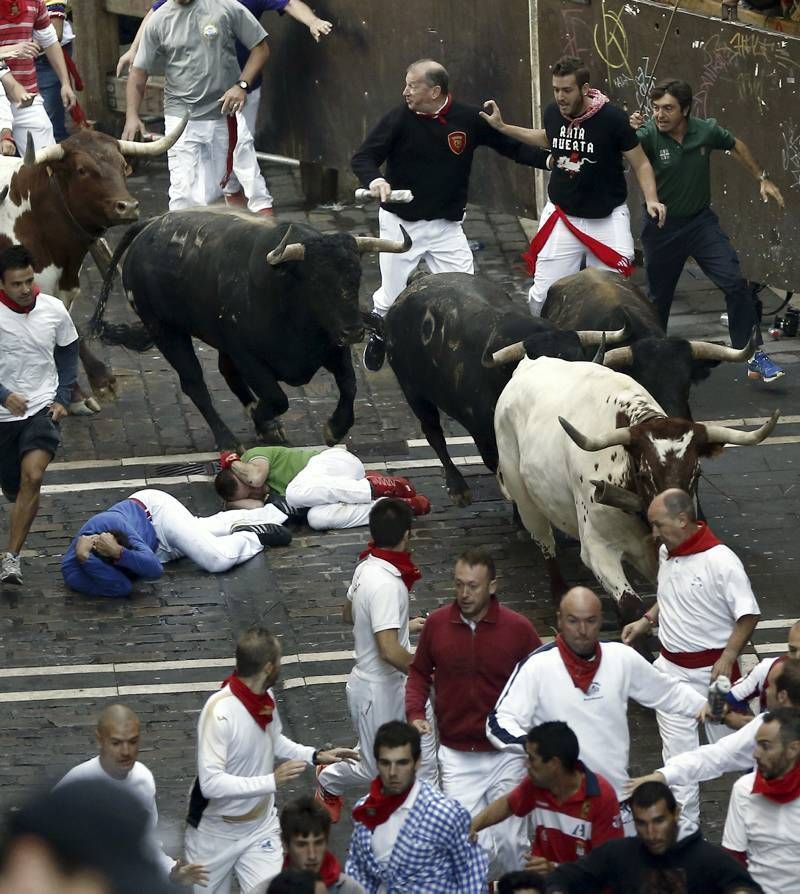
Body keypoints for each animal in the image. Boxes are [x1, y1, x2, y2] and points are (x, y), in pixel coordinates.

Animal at [90, 211, 410, 448]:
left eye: (356, 276)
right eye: (318, 281)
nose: (354, 331)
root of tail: (150, 225)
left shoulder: (332, 347)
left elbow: (349, 385)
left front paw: (334, 428)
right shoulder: (248, 355)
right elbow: (277, 398)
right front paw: (261, 416)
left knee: (225, 372)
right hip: (165, 330)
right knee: (194, 382)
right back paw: (228, 439)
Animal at [496, 356, 780, 624]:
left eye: (697, 473)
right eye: (645, 475)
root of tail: (529, 363)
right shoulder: (597, 548)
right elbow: (632, 608)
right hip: (526, 502)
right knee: (545, 542)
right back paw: (559, 591)